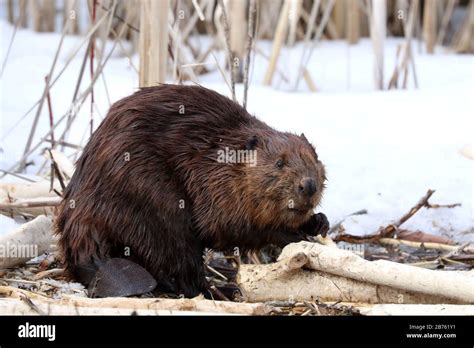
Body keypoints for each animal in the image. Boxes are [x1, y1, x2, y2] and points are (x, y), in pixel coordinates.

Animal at [54, 83, 330, 296]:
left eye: (315, 159)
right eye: (279, 163)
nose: (309, 185)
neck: (225, 156)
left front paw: (318, 222)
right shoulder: (211, 183)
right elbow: (225, 226)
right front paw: (293, 235)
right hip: (154, 201)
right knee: (181, 265)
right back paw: (224, 290)